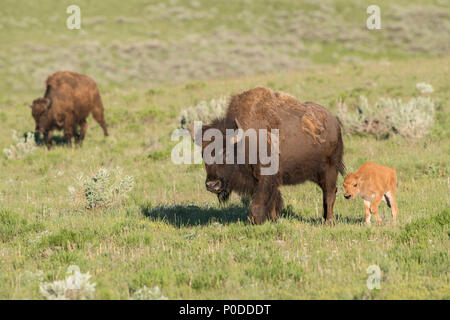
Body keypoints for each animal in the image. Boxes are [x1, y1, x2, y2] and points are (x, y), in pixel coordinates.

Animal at [191, 86, 344, 224]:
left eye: (226, 152)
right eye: (203, 155)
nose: (212, 185)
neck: (243, 142)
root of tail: (335, 123)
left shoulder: (266, 178)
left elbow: (259, 202)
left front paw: (254, 221)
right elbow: (273, 201)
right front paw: (274, 220)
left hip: (330, 169)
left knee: (329, 193)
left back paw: (329, 222)